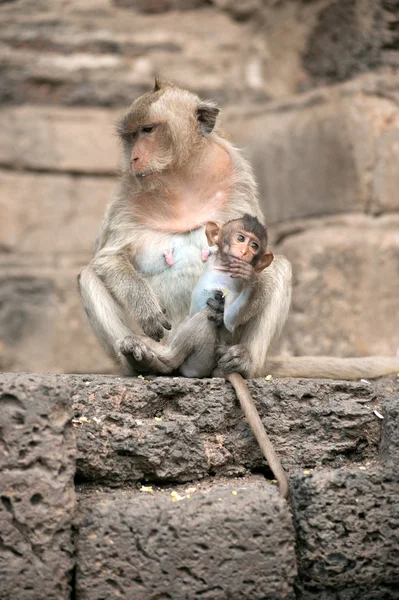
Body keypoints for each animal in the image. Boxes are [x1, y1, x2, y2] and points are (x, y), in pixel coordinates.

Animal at [79, 79, 399, 380]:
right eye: (130, 136)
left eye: (148, 130)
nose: (134, 157)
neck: (179, 182)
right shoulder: (127, 194)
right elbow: (107, 258)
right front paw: (145, 308)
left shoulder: (236, 177)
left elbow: (263, 257)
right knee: (88, 277)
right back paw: (142, 359)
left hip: (226, 339)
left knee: (279, 268)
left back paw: (244, 362)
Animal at [120, 216, 290, 496]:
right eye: (241, 238)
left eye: (255, 245)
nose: (244, 251)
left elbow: (228, 316)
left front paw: (248, 282)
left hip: (202, 357)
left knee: (203, 322)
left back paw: (154, 359)